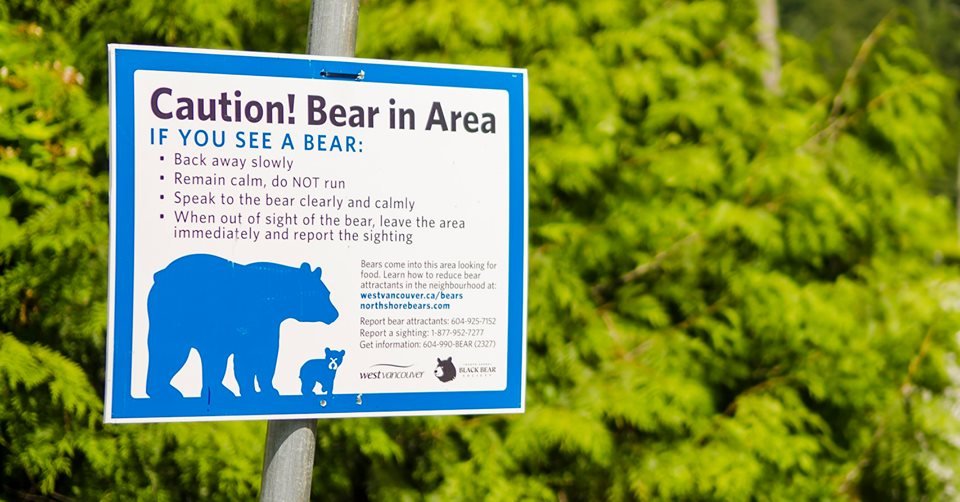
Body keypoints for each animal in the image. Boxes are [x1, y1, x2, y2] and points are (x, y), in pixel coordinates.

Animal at [145, 254, 339, 402]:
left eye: (328, 293)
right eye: (322, 294)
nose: (335, 314)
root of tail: (159, 274)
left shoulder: (267, 326)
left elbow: (263, 356)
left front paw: (264, 390)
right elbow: (247, 359)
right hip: (177, 317)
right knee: (172, 352)